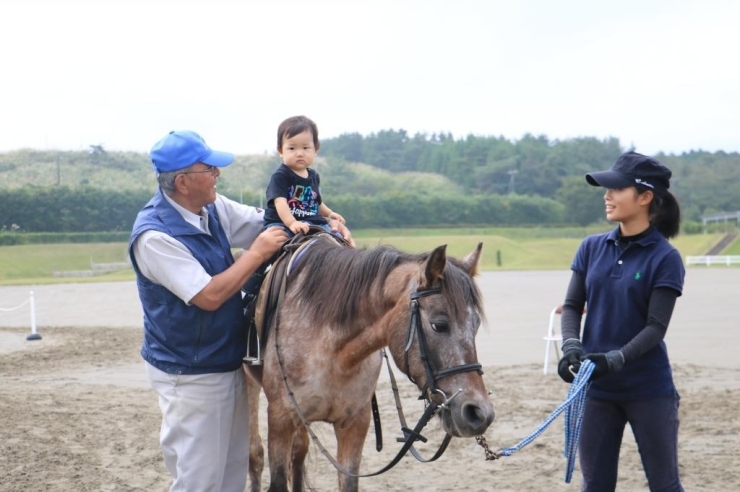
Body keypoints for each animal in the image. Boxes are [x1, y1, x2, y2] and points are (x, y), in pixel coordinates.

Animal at [246, 236, 494, 490]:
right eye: (439, 324)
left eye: (475, 325)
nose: (479, 412)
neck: (335, 355)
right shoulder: (281, 418)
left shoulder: (355, 424)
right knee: (256, 454)